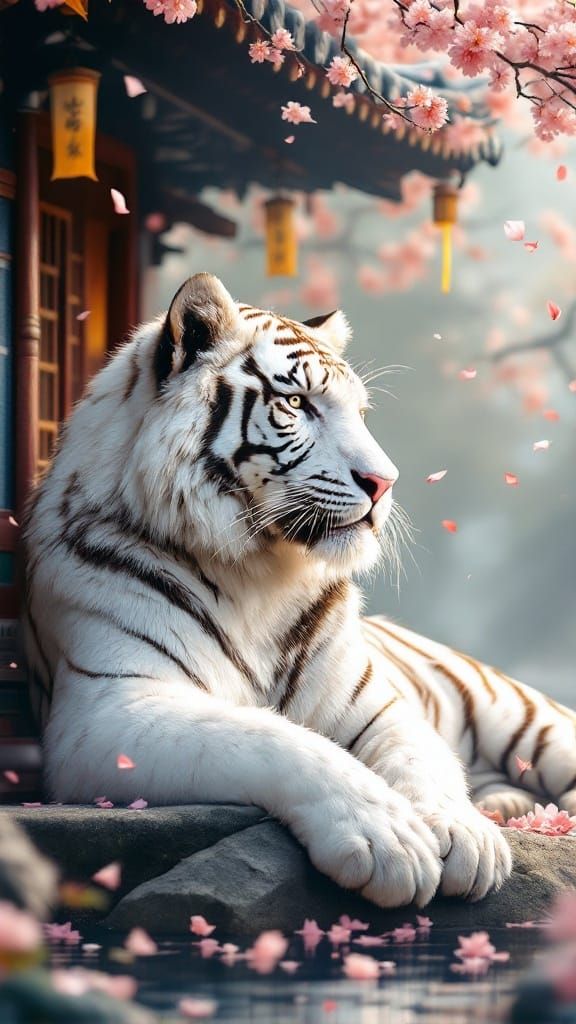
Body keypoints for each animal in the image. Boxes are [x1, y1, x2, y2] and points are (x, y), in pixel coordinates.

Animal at [23, 272, 576, 910]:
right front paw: (387, 838)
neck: (256, 573)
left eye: (360, 412)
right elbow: (273, 739)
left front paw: (463, 834)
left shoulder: (379, 708)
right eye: (295, 404)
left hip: (530, 721)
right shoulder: (109, 712)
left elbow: (422, 758)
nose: (385, 482)